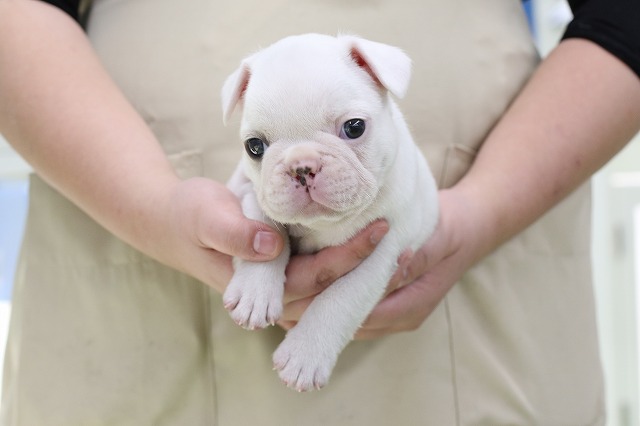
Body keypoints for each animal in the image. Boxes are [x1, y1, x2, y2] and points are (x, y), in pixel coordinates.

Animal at [221, 34, 440, 392]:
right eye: (254, 147)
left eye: (354, 128)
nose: (301, 164)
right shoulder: (249, 190)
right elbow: (264, 225)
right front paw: (255, 293)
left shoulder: (380, 251)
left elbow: (340, 300)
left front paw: (305, 355)